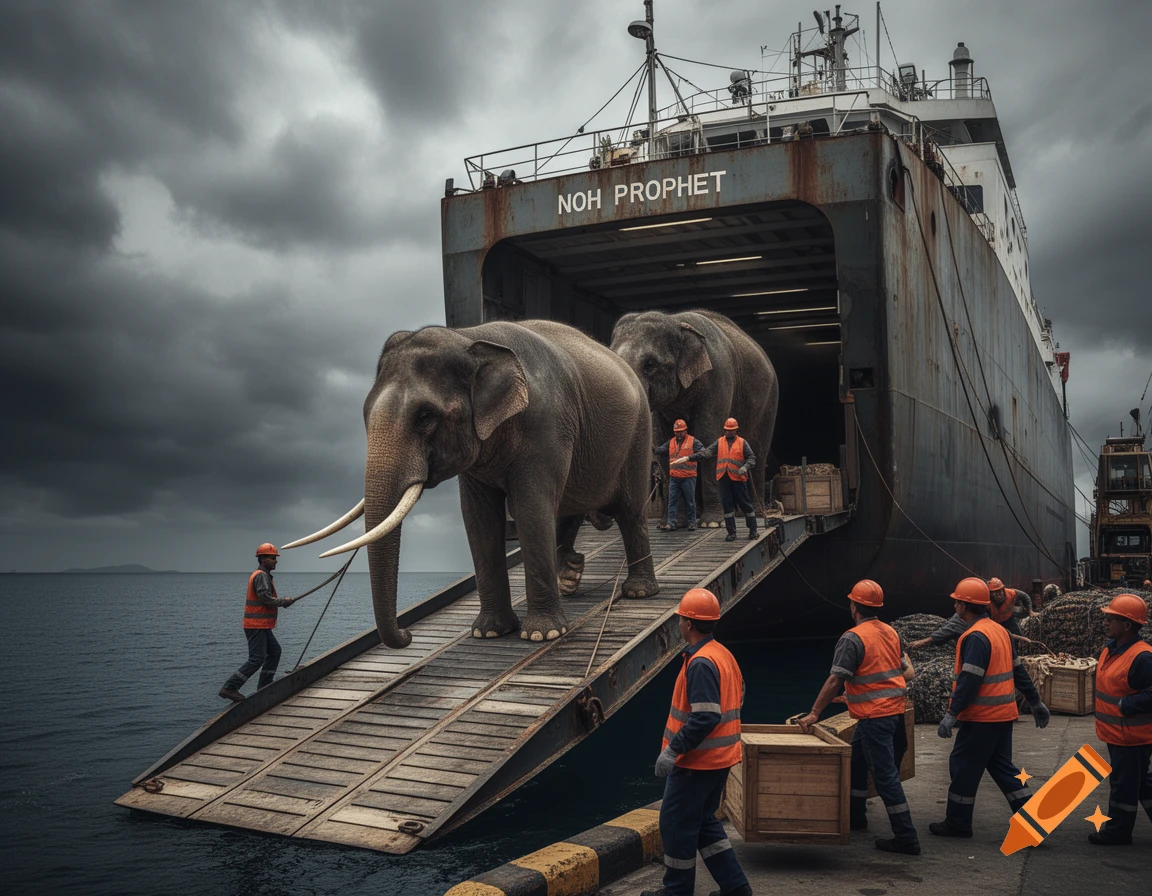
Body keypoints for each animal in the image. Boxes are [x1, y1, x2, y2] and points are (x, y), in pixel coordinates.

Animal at [284, 320, 660, 648]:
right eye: (363, 414)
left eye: (425, 417)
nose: (407, 635)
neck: (471, 338)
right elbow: (478, 518)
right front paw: (489, 632)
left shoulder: (546, 426)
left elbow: (531, 509)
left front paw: (542, 635)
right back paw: (570, 577)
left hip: (639, 431)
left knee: (629, 509)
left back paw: (639, 592)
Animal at [610, 310, 779, 528]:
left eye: (650, 365)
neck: (676, 321)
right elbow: (665, 444)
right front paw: (669, 524)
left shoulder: (718, 377)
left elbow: (708, 438)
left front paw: (712, 524)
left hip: (769, 401)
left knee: (756, 452)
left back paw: (753, 513)